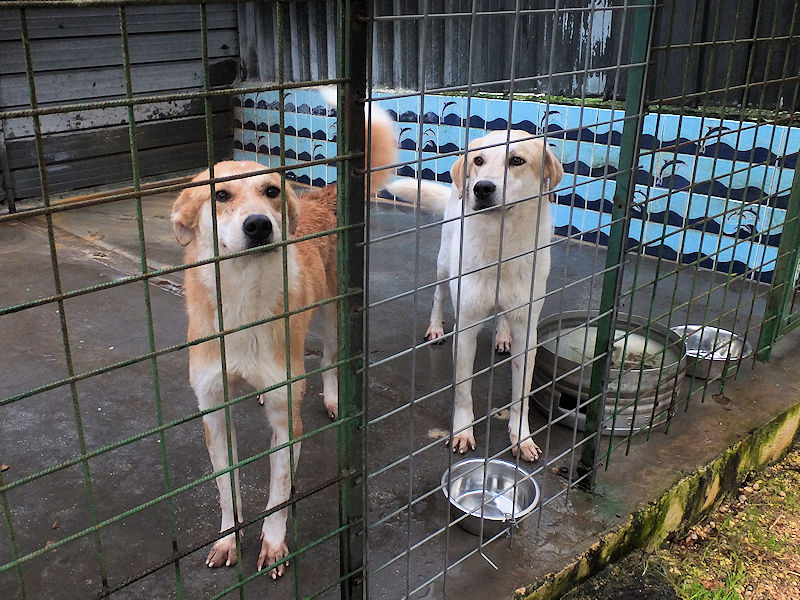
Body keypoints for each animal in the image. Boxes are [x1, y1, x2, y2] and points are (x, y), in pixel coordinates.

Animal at [171, 100, 395, 576]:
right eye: (221, 196)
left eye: (271, 191)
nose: (259, 225)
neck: (243, 300)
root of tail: (320, 196)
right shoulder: (213, 412)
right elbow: (226, 488)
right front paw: (228, 538)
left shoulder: (286, 421)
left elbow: (279, 491)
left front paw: (273, 544)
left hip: (332, 317)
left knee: (327, 360)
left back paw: (332, 397)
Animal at [386, 130, 563, 462]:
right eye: (479, 160)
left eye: (517, 160)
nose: (480, 189)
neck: (501, 245)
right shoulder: (466, 328)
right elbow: (463, 391)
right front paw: (463, 431)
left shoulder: (527, 330)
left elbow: (522, 394)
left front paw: (521, 438)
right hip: (444, 263)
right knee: (438, 295)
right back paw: (435, 327)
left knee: (502, 316)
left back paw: (502, 336)